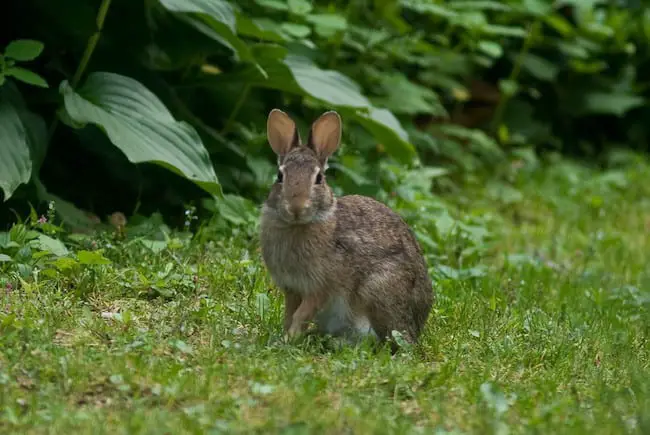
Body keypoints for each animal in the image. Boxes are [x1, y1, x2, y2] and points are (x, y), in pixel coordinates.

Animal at [256, 109, 430, 350]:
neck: (298, 225)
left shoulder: (320, 288)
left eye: (319, 178)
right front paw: (285, 337)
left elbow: (301, 314)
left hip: (378, 292)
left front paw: (288, 340)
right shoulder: (292, 289)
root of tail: (417, 327)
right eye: (280, 176)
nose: (296, 207)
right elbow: (290, 314)